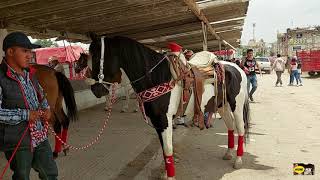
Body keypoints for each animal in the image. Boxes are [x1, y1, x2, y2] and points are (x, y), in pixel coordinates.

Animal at [89, 34, 251, 179]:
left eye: (97, 57)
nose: (96, 90)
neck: (158, 78)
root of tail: (238, 68)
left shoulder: (164, 120)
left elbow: (168, 150)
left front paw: (170, 176)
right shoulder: (157, 122)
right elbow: (164, 150)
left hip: (236, 107)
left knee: (240, 128)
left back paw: (238, 160)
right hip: (222, 106)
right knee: (230, 126)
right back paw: (228, 153)